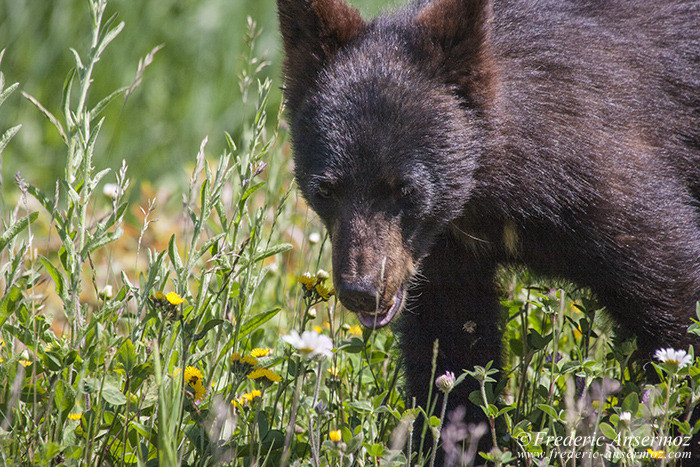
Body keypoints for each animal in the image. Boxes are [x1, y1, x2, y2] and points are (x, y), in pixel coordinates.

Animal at [276, 0, 700, 458]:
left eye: (406, 188)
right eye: (325, 189)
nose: (362, 289)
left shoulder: (612, 184)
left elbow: (676, 298)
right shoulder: (443, 251)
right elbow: (453, 349)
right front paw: (453, 446)